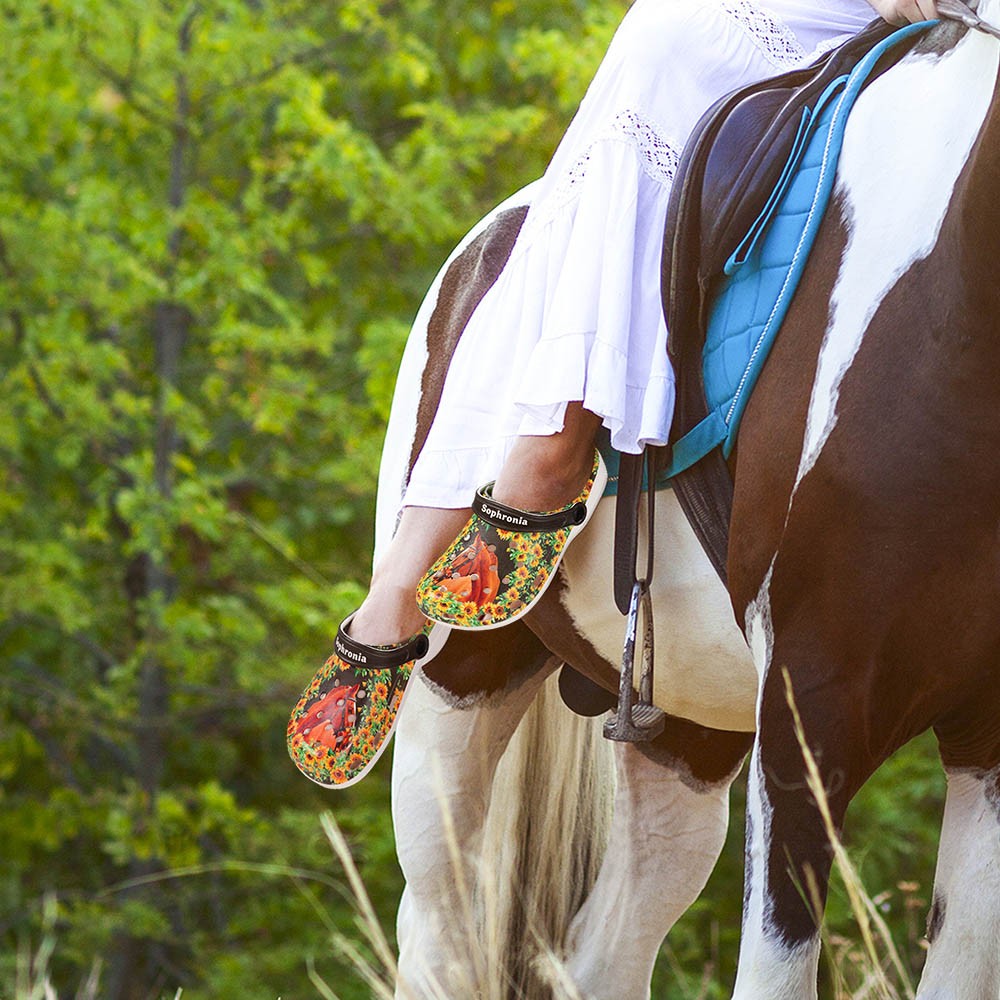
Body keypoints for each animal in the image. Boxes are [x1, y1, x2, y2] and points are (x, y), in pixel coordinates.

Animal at [374, 11, 1000, 996]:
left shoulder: (986, 734)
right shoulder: (808, 712)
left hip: (687, 731)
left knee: (604, 952)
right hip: (456, 684)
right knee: (442, 933)